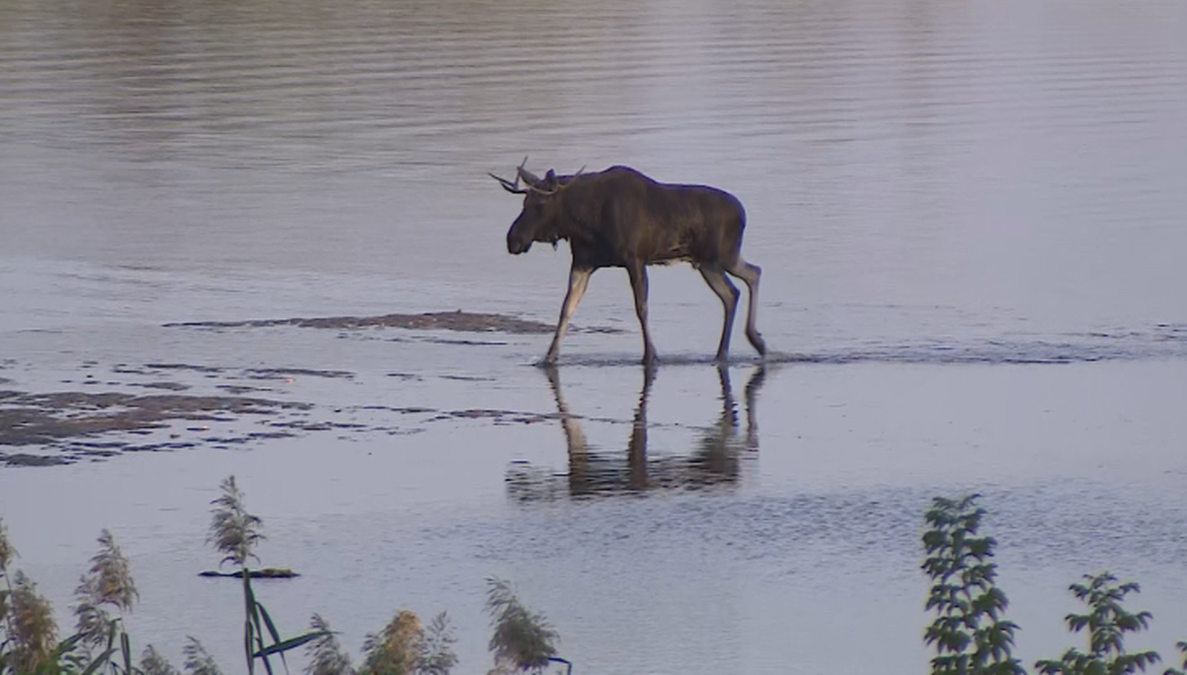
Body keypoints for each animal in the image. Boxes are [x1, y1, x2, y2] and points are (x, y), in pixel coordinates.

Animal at [491, 160, 769, 365]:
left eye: (539, 204)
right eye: (524, 202)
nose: (513, 240)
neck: (583, 219)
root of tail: (743, 213)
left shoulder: (635, 259)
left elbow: (641, 307)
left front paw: (651, 354)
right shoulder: (583, 263)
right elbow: (566, 308)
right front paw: (549, 357)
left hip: (723, 256)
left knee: (753, 273)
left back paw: (756, 341)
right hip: (707, 263)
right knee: (732, 293)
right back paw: (728, 350)